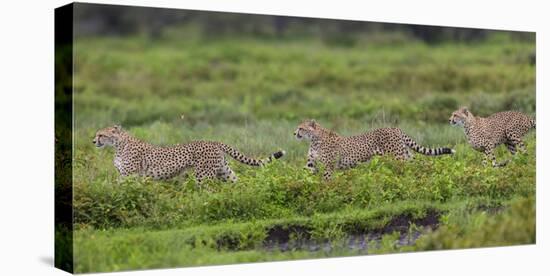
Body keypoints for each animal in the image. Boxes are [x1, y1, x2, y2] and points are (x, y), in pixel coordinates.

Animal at [92, 126, 286, 184]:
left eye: (101, 134)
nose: (93, 141)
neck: (118, 145)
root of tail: (214, 142)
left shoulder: (128, 175)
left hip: (203, 175)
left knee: (210, 192)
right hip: (224, 172)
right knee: (237, 184)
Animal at [296, 119, 454, 180]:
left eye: (301, 128)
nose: (294, 133)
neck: (314, 139)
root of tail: (394, 128)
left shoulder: (329, 165)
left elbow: (326, 179)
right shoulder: (311, 164)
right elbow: (306, 173)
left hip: (398, 157)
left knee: (409, 168)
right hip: (405, 154)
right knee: (418, 165)